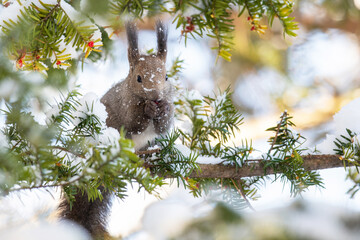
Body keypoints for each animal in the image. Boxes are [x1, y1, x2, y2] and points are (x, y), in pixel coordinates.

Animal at [57, 21, 173, 239]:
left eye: (166, 77)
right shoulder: (125, 107)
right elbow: (134, 123)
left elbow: (164, 127)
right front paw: (148, 110)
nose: (156, 96)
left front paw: (164, 109)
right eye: (138, 78)